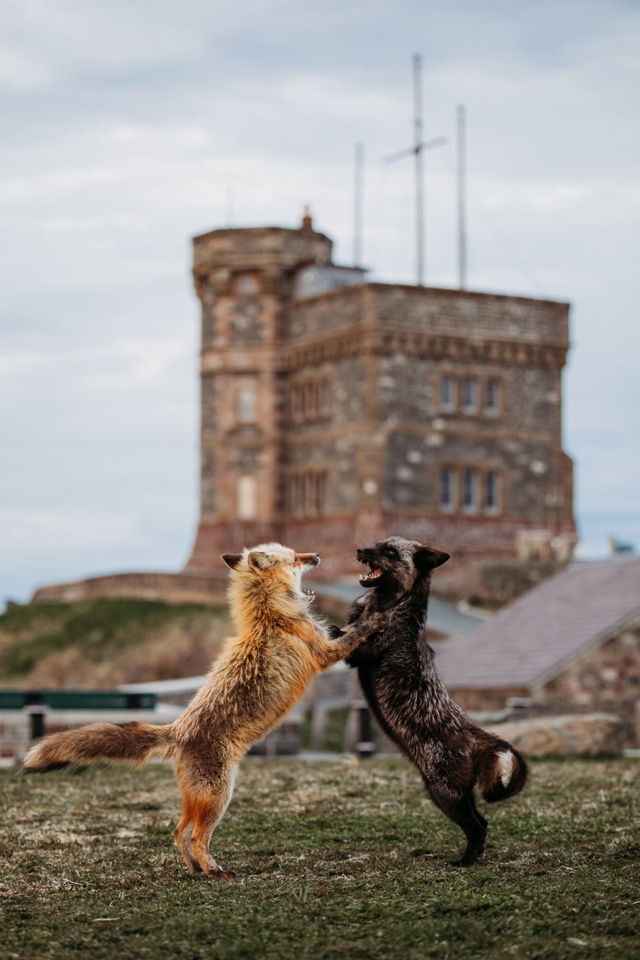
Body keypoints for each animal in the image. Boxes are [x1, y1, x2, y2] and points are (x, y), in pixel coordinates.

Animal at [23, 543, 386, 879]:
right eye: (295, 558)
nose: (317, 556)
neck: (270, 615)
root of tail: (177, 730)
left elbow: (344, 631)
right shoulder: (323, 654)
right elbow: (354, 635)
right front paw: (375, 620)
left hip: (197, 799)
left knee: (178, 833)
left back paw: (196, 869)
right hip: (219, 796)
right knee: (196, 837)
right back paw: (213, 870)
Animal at [336, 536, 528, 866]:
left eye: (390, 552)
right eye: (378, 543)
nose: (360, 550)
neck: (391, 604)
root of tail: (480, 737)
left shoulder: (360, 653)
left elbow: (343, 635)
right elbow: (347, 625)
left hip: (443, 792)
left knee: (477, 828)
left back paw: (465, 862)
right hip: (457, 795)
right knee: (484, 824)